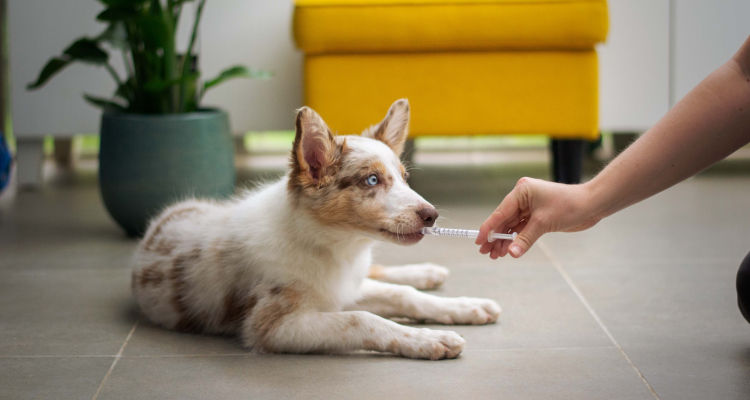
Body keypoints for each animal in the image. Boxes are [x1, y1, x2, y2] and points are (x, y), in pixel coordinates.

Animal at [132, 99, 502, 360]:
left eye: (404, 178)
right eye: (372, 180)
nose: (432, 216)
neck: (332, 246)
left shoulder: (344, 286)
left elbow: (403, 295)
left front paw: (464, 307)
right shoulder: (273, 326)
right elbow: (363, 319)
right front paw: (429, 339)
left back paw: (427, 273)